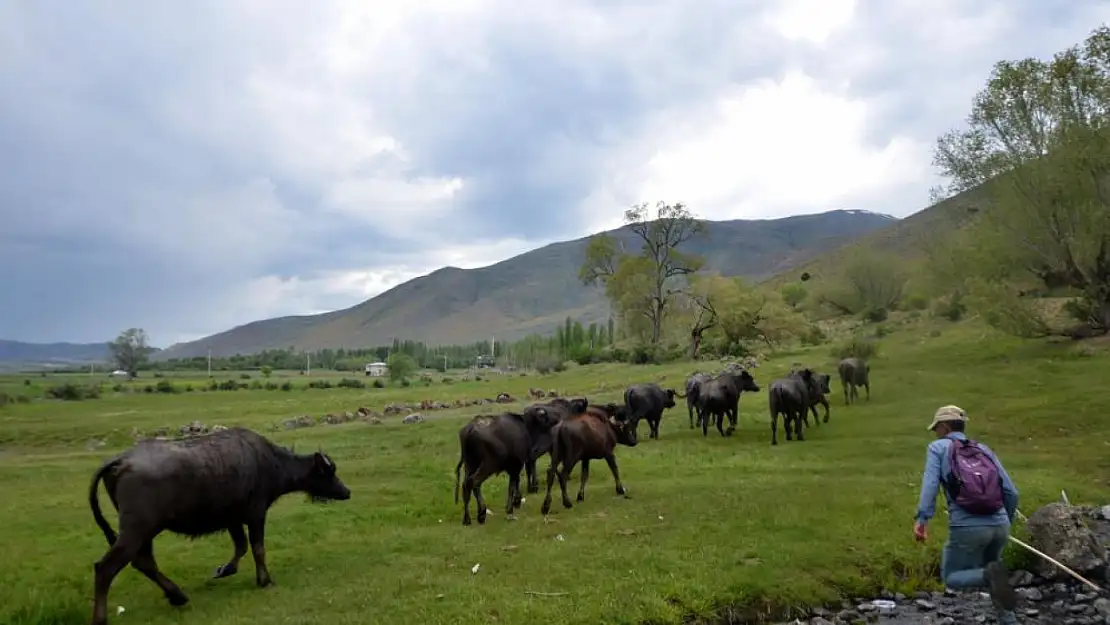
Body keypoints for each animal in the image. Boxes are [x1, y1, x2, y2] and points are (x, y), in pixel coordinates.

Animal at [87, 426, 350, 625]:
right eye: (328, 472)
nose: (346, 491)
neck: (268, 462)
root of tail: (121, 460)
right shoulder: (256, 514)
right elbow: (257, 549)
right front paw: (264, 580)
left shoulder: (233, 518)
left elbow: (241, 547)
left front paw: (224, 570)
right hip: (137, 529)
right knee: (106, 568)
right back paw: (101, 618)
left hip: (145, 531)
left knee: (144, 562)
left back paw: (177, 595)